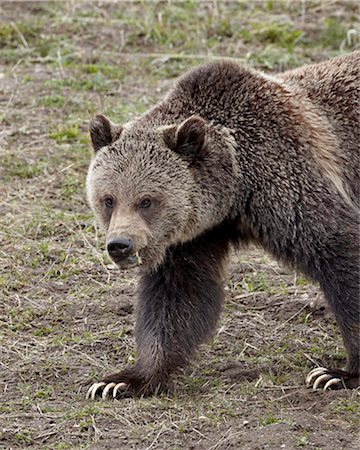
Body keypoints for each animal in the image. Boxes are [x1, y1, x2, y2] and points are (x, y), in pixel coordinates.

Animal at [86, 52, 358, 400]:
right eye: (109, 199)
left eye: (146, 201)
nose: (120, 245)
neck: (235, 189)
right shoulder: (191, 237)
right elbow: (176, 299)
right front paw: (122, 380)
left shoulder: (288, 184)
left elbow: (339, 250)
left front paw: (336, 374)